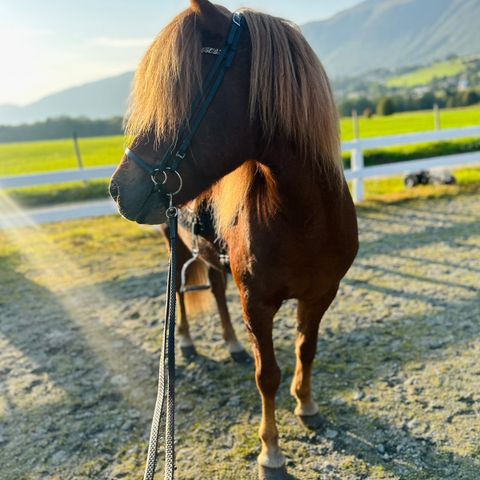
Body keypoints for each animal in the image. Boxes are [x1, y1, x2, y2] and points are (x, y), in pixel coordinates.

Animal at [109, 0, 356, 472]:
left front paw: (307, 406)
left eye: (181, 93)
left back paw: (231, 344)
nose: (117, 189)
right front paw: (271, 452)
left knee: (217, 290)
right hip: (173, 245)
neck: (302, 219)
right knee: (181, 294)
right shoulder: (256, 304)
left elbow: (306, 350)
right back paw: (188, 343)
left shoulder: (321, 295)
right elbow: (268, 374)